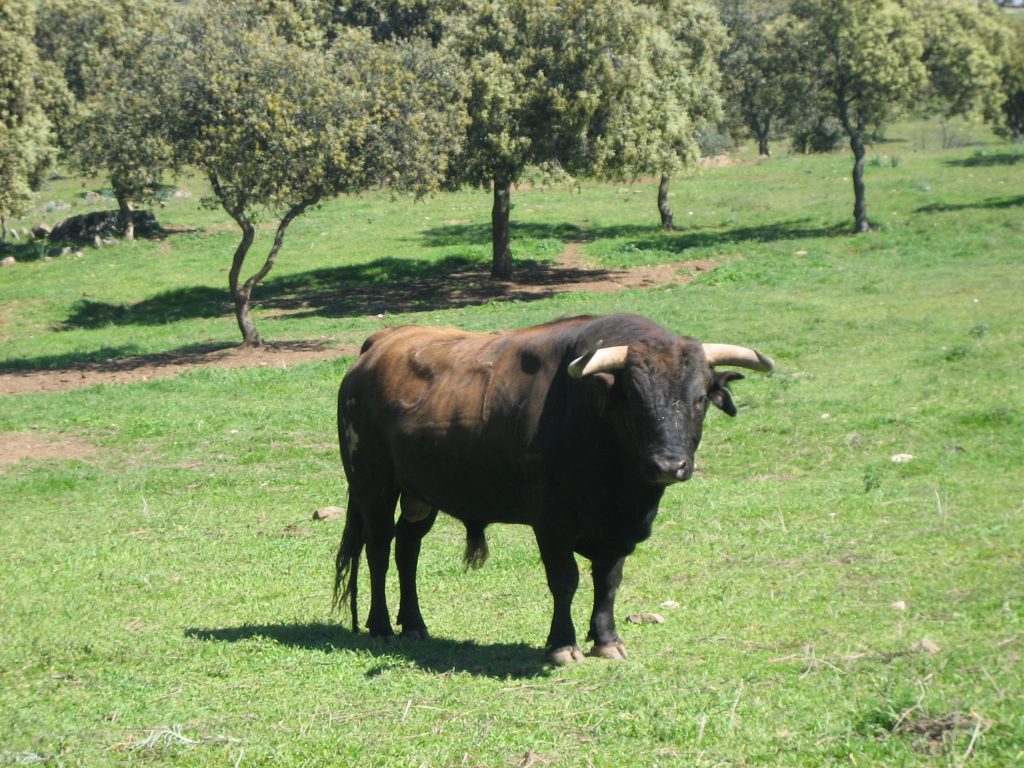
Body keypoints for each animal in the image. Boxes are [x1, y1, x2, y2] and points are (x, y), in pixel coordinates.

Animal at [331, 313, 770, 663]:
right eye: (633, 398)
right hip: (374, 486)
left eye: (700, 398)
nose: (669, 465)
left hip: (420, 493)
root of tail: (378, 345)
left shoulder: (618, 529)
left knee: (408, 547)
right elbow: (565, 580)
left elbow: (608, 581)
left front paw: (607, 640)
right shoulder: (552, 523)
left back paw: (414, 624)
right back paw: (382, 626)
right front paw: (563, 645)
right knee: (379, 549)